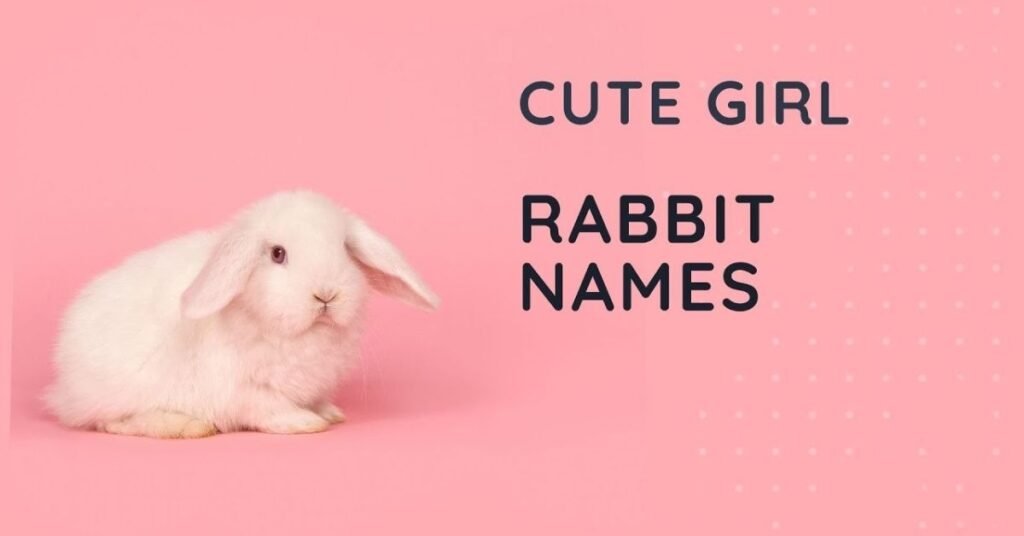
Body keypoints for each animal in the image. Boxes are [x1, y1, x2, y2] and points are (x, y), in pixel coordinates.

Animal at [44, 190, 438, 438]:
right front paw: (304, 423)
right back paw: (188, 427)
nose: (326, 295)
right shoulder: (241, 389)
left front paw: (328, 412)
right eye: (278, 254)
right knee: (113, 422)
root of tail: (65, 382)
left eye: (344, 248)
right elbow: (267, 407)